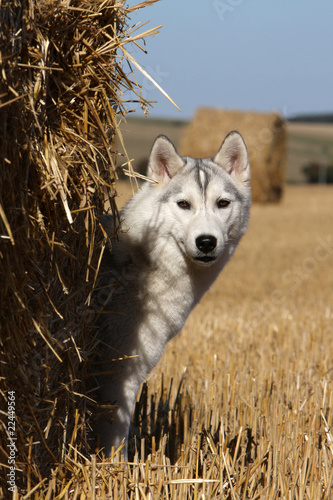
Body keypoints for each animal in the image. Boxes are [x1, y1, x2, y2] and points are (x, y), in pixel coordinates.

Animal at [91, 131, 249, 458]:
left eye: (223, 203)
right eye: (183, 204)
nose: (206, 242)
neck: (143, 260)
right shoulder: (119, 375)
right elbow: (117, 444)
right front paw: (116, 472)